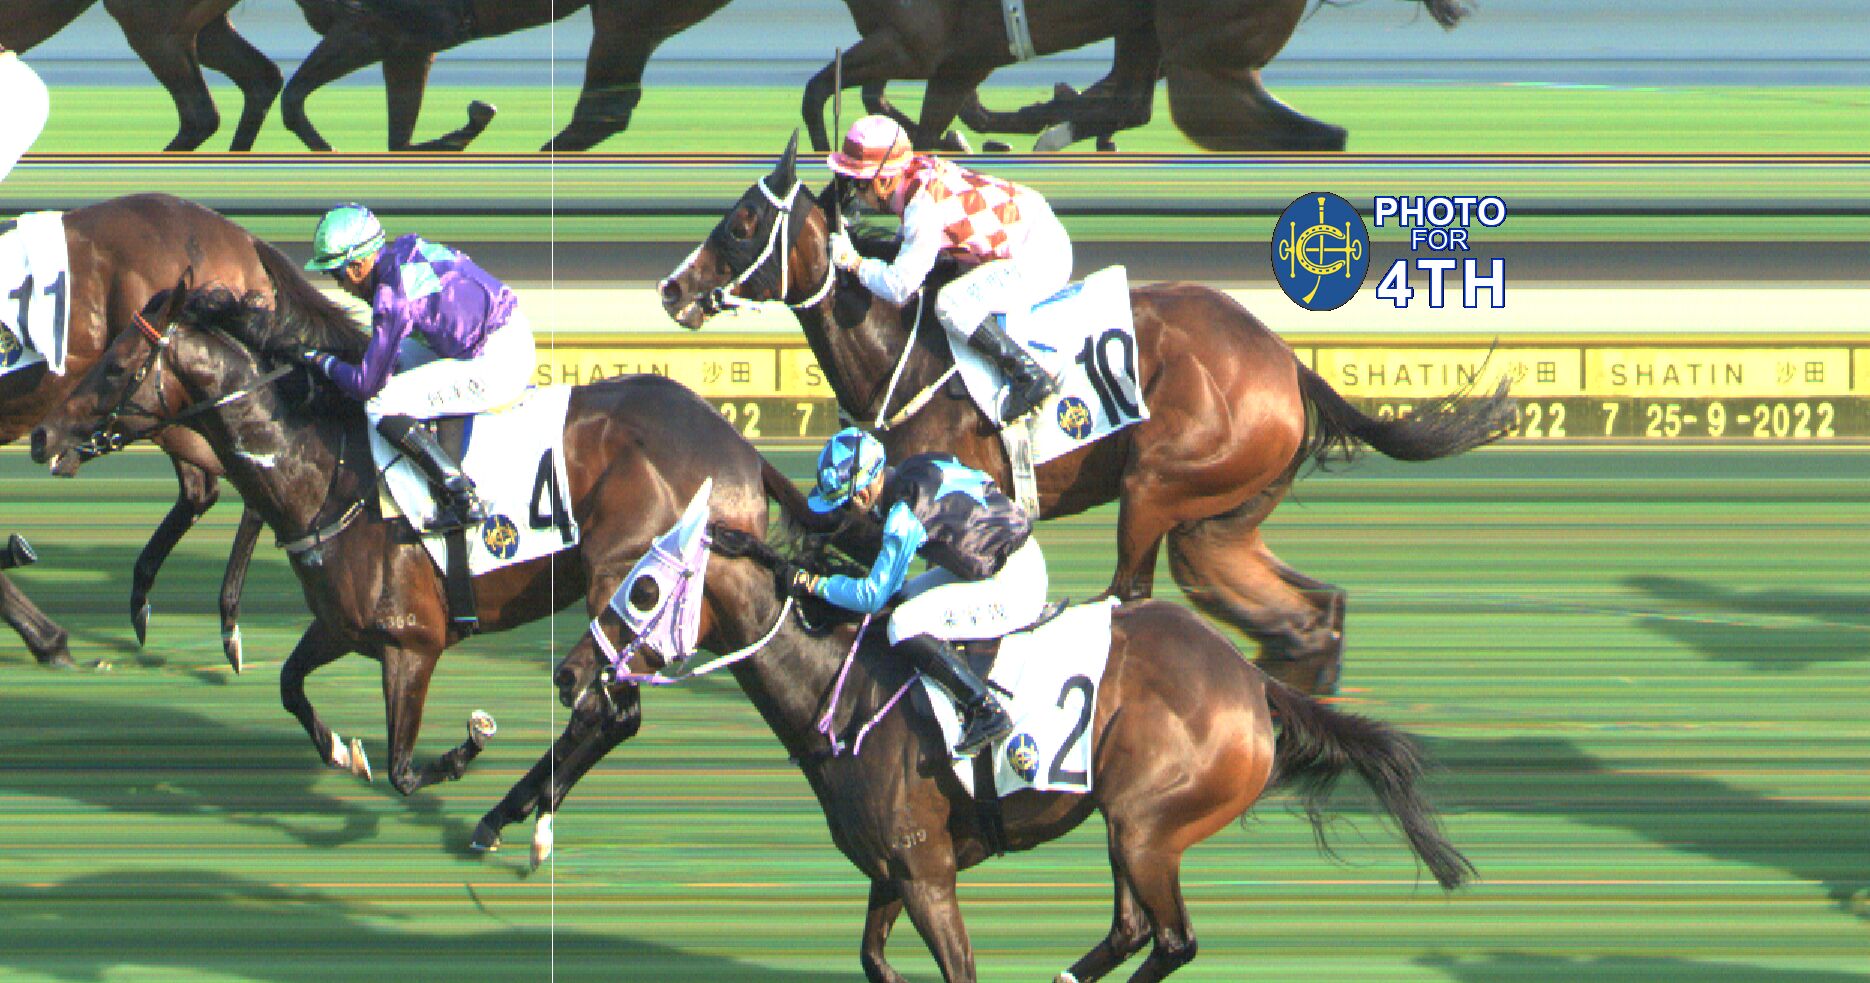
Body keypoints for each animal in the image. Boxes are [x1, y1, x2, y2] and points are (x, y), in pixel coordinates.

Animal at [5, 194, 284, 669]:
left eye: (116, 367)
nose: (42, 439)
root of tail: (242, 238)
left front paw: (49, 639)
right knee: (204, 489)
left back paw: (227, 621)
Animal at [30, 278, 775, 796]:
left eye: (117, 366)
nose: (42, 436)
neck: (327, 476)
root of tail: (739, 449)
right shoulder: (341, 626)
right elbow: (290, 685)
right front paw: (340, 749)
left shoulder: (414, 644)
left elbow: (403, 770)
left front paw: (463, 748)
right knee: (612, 713)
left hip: (626, 588)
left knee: (613, 711)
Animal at [547, 495, 1474, 982]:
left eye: (641, 589)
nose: (568, 672)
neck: (841, 694)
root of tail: (1250, 680)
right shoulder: (895, 868)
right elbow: (872, 958)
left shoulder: (927, 873)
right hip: (1127, 822)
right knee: (1134, 928)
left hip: (1147, 824)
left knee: (1173, 937)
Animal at [657, 135, 1516, 696]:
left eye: (740, 224)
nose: (671, 289)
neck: (902, 355)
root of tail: (1286, 363)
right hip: (1215, 529)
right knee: (1309, 613)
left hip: (1159, 488)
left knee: (1138, 596)